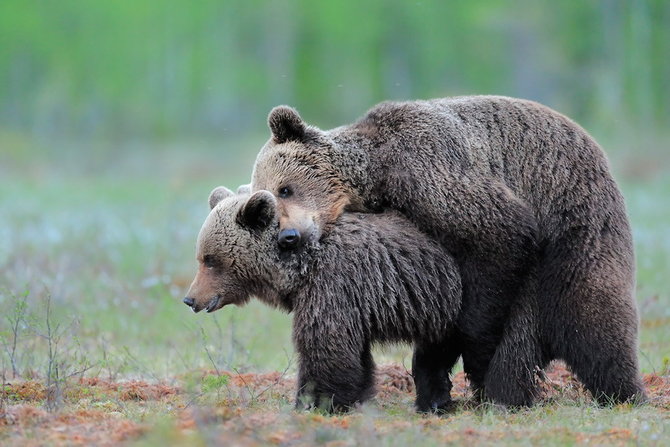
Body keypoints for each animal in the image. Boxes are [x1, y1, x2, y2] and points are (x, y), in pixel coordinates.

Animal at [185, 188, 468, 412]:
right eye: (201, 257)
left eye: (210, 259)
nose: (190, 299)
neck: (301, 265)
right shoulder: (352, 301)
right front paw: (356, 398)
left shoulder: (335, 284)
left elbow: (325, 345)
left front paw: (313, 403)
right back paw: (433, 401)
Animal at [249, 96, 648, 408]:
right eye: (265, 201)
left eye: (285, 188)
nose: (288, 236)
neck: (375, 174)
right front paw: (435, 373)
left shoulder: (428, 168)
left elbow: (501, 239)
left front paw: (474, 348)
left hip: (574, 227)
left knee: (594, 321)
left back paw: (625, 393)